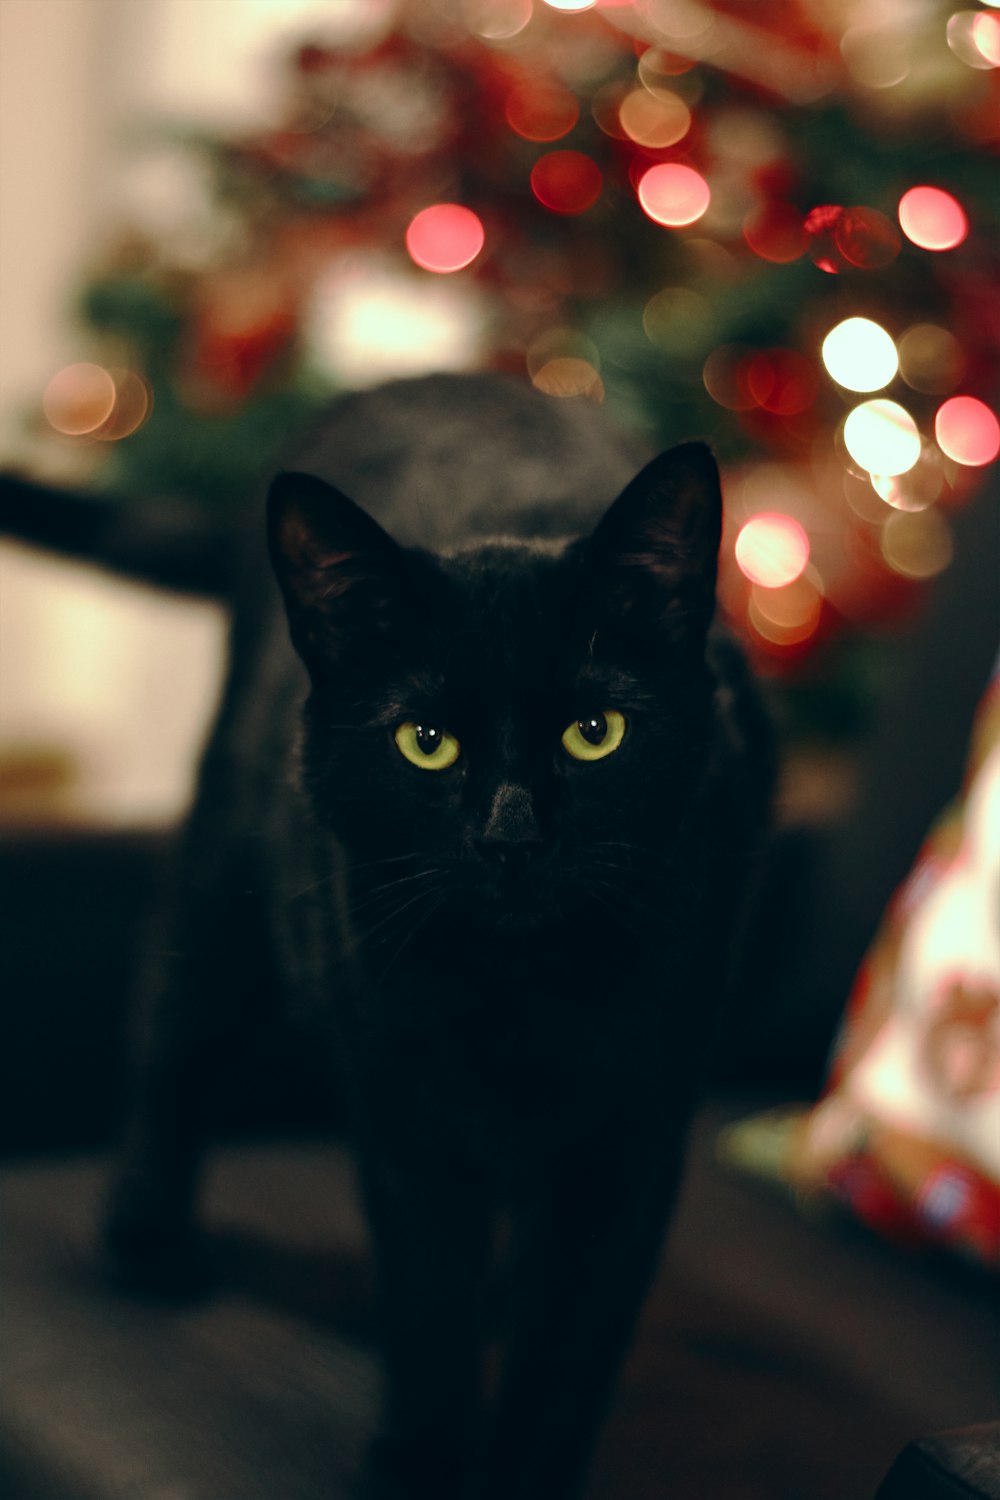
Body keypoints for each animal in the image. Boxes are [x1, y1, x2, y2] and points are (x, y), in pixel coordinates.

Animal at [101, 366, 773, 1500]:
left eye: (596, 733)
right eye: (426, 742)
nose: (511, 837)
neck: (518, 996)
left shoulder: (629, 1144)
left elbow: (566, 1350)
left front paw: (523, 1468)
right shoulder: (403, 1122)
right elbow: (428, 1308)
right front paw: (422, 1460)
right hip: (226, 869)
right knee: (172, 1019)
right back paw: (146, 1240)